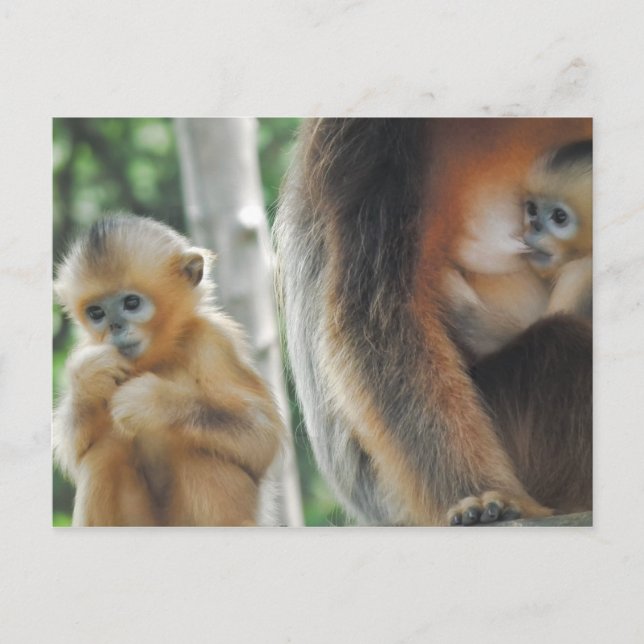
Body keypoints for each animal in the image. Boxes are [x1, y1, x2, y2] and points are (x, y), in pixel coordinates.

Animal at [54, 214, 283, 526]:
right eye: (96, 313)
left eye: (132, 303)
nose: (114, 326)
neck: (159, 357)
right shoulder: (89, 346)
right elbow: (74, 451)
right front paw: (88, 378)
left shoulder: (214, 341)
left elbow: (262, 436)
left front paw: (153, 401)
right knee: (106, 451)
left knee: (196, 453)